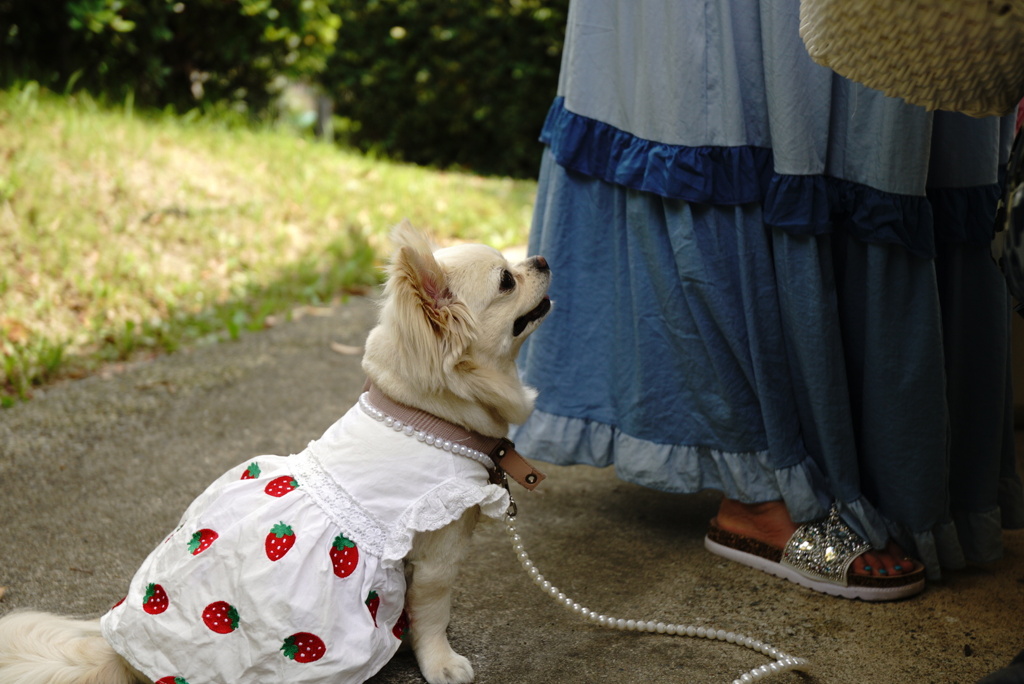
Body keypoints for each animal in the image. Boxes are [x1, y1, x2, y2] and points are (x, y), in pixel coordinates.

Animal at [0, 223, 552, 684]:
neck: (425, 417)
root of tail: (121, 656)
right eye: (506, 280)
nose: (544, 258)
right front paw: (440, 661)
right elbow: (434, 611)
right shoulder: (441, 548)